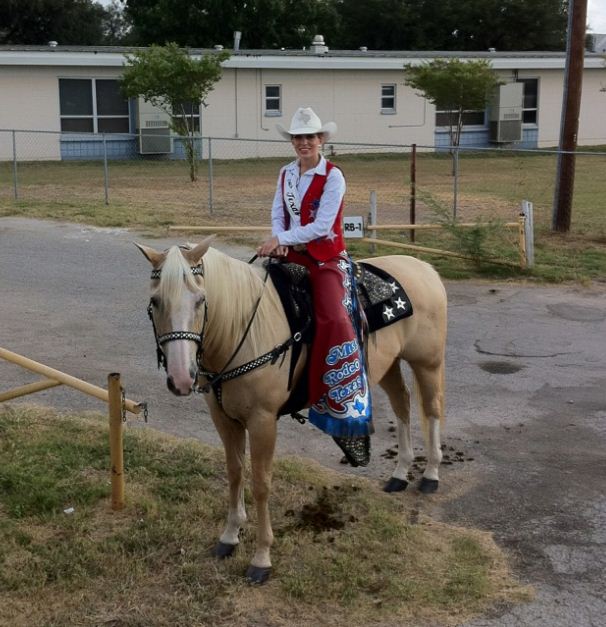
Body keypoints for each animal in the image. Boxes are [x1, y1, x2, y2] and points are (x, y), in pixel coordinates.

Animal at [139, 238, 452, 588]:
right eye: (155, 301)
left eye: (200, 300)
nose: (180, 378)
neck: (243, 330)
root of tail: (423, 267)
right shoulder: (223, 418)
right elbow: (234, 473)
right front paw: (230, 536)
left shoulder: (262, 422)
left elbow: (261, 483)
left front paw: (261, 557)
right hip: (387, 365)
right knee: (402, 403)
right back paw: (400, 473)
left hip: (427, 362)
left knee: (432, 409)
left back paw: (431, 474)